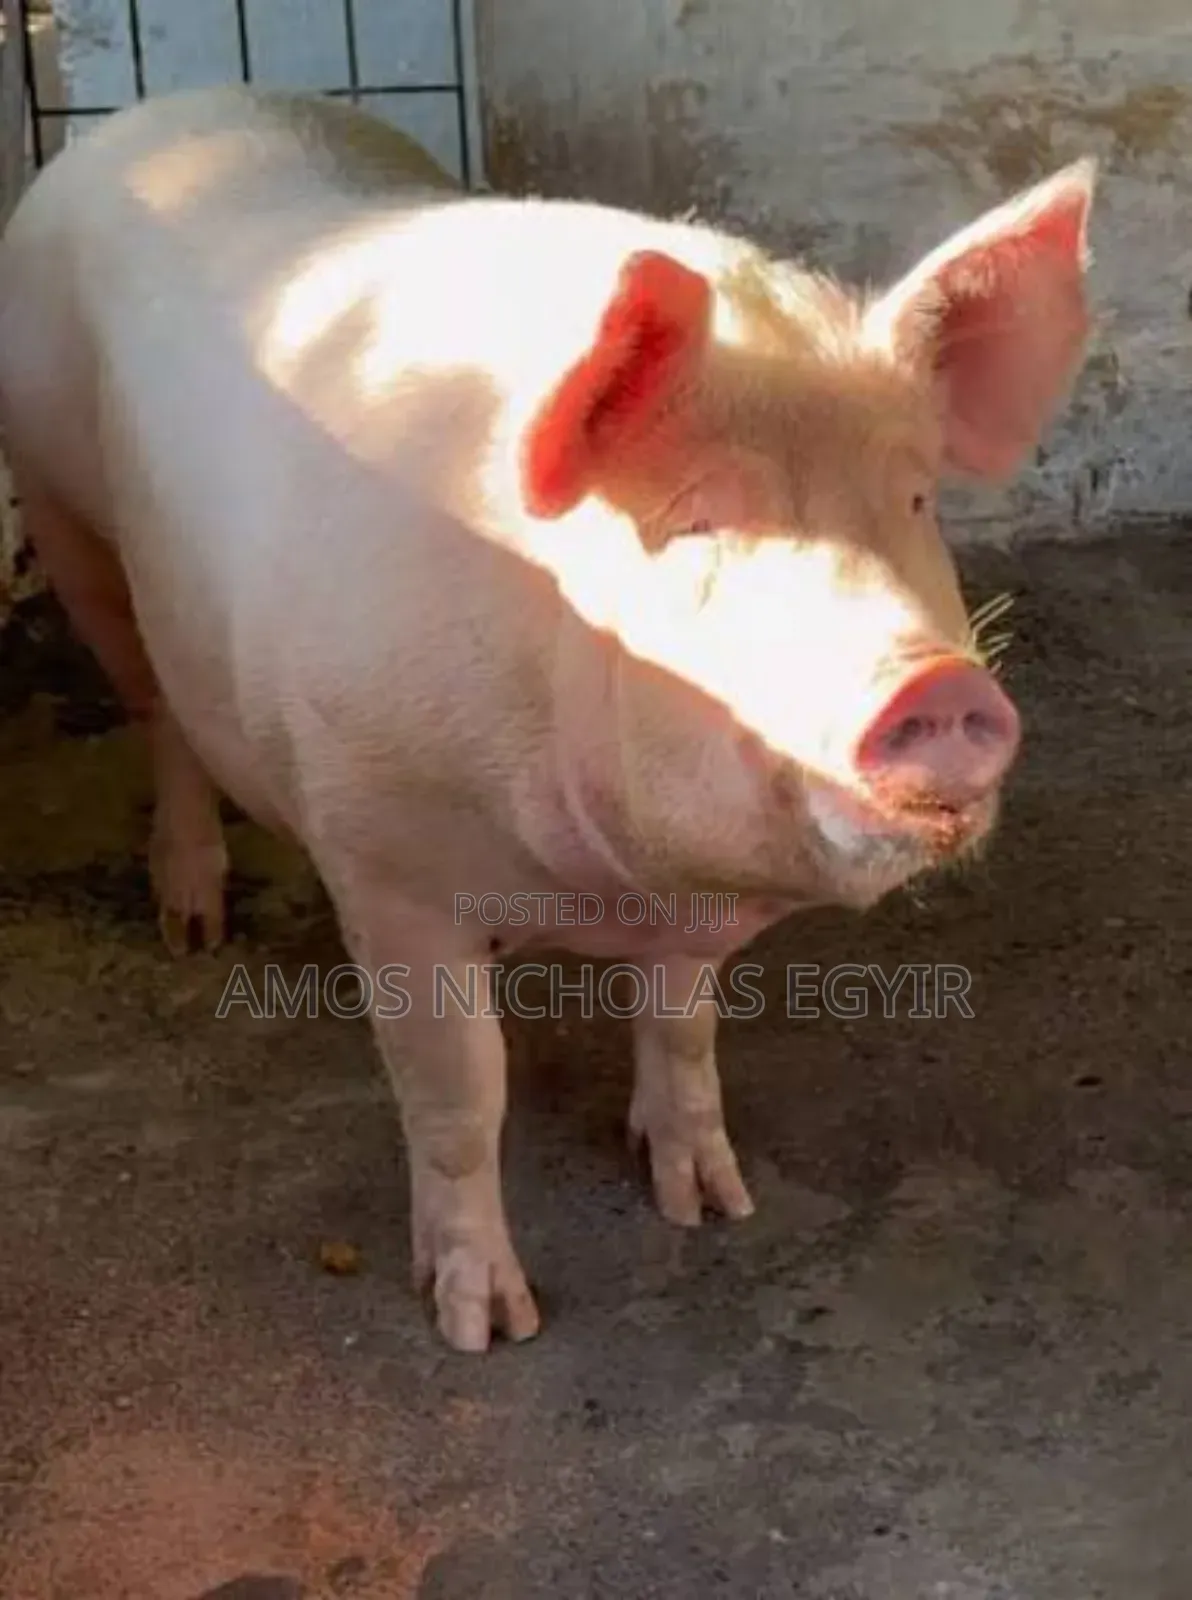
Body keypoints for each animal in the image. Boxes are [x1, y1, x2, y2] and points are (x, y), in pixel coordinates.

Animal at [0, 86, 1096, 1351]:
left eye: (914, 499)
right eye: (697, 523)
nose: (938, 685)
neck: (595, 883)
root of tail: (154, 114)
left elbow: (681, 1026)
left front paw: (711, 1205)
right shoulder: (386, 858)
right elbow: (459, 1090)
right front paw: (485, 1324)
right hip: (66, 510)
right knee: (158, 709)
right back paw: (192, 923)